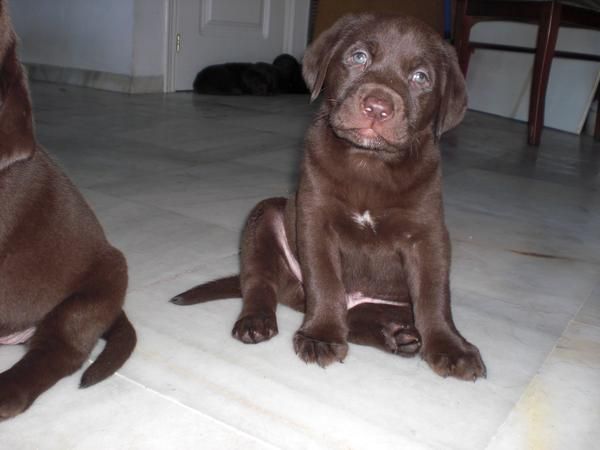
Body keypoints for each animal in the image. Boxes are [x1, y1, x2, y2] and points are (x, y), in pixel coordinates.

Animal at [171, 13, 486, 380]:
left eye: (420, 77)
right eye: (359, 57)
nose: (377, 107)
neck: (369, 162)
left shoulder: (427, 234)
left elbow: (434, 296)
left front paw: (451, 347)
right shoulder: (315, 219)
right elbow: (325, 281)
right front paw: (321, 335)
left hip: (389, 301)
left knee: (361, 317)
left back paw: (399, 336)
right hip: (265, 217)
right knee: (258, 280)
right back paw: (256, 321)